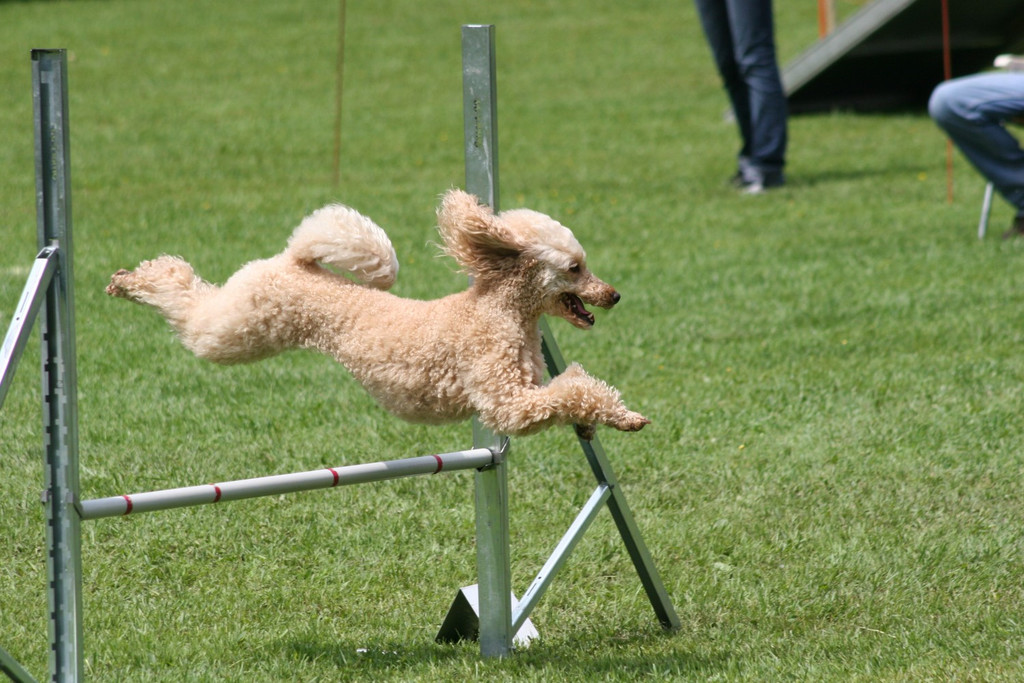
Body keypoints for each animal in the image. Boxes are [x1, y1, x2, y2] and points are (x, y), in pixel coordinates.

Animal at [106, 189, 649, 439]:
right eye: (576, 267)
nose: (616, 295)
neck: (500, 311)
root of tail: (294, 260)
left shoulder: (526, 386)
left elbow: (573, 387)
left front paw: (605, 422)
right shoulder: (505, 402)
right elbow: (571, 391)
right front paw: (625, 417)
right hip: (235, 330)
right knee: (181, 291)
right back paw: (128, 282)